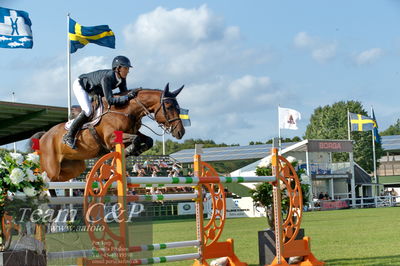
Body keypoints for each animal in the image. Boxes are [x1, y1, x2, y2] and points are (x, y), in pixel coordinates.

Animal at [32, 83, 186, 183]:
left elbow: (147, 140)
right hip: (51, 167)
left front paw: (135, 151)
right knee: (45, 177)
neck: (125, 111)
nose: (180, 132)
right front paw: (128, 151)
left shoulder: (133, 131)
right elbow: (135, 139)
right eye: (169, 106)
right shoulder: (111, 139)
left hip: (73, 166)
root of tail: (44, 136)